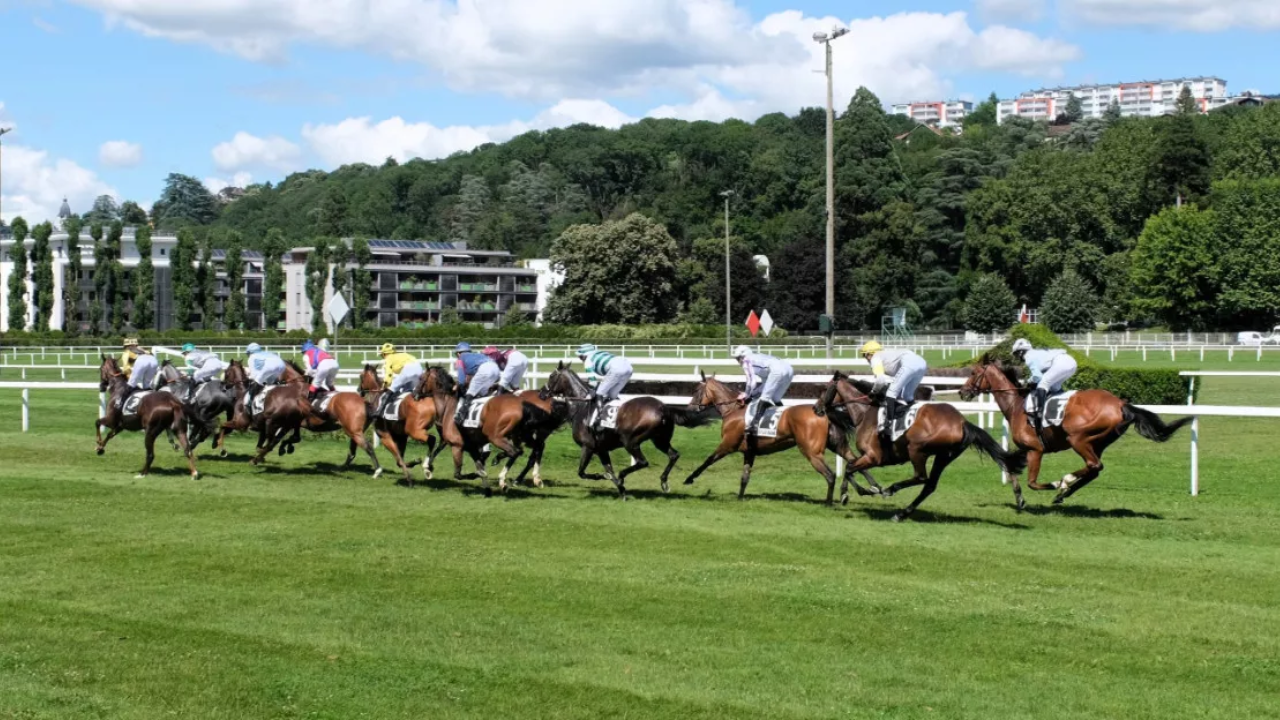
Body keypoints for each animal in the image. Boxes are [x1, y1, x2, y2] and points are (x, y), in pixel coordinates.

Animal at [540, 361, 721, 497]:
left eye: (551, 376)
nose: (542, 393)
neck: (581, 406)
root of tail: (664, 408)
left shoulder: (588, 446)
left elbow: (582, 472)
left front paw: (604, 478)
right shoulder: (601, 449)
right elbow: (608, 469)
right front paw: (621, 490)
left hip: (630, 441)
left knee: (642, 462)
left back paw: (624, 476)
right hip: (660, 440)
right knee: (673, 455)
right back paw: (663, 481)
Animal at [680, 371, 870, 502]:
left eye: (696, 390)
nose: (689, 409)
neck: (734, 410)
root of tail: (823, 411)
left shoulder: (727, 445)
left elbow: (708, 460)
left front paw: (689, 479)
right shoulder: (749, 452)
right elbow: (745, 477)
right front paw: (740, 498)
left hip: (811, 452)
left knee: (830, 475)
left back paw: (830, 502)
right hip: (837, 444)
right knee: (854, 462)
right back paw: (866, 490)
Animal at [819, 371, 1029, 517]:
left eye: (824, 389)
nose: (817, 408)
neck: (865, 413)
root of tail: (962, 422)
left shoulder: (873, 457)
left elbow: (849, 468)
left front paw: (850, 494)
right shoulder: (868, 457)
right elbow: (851, 466)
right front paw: (868, 489)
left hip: (917, 449)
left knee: (921, 477)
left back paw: (891, 490)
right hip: (944, 456)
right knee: (929, 485)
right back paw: (902, 513)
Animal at [962, 356, 1192, 507]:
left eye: (973, 373)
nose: (963, 392)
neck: (1016, 406)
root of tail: (1121, 404)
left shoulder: (1035, 449)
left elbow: (1032, 482)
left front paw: (1055, 484)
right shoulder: (1024, 450)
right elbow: (1011, 470)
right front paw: (1019, 500)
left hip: (1078, 438)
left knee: (1094, 465)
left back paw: (1065, 482)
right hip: (1098, 442)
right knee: (1095, 468)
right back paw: (1063, 492)